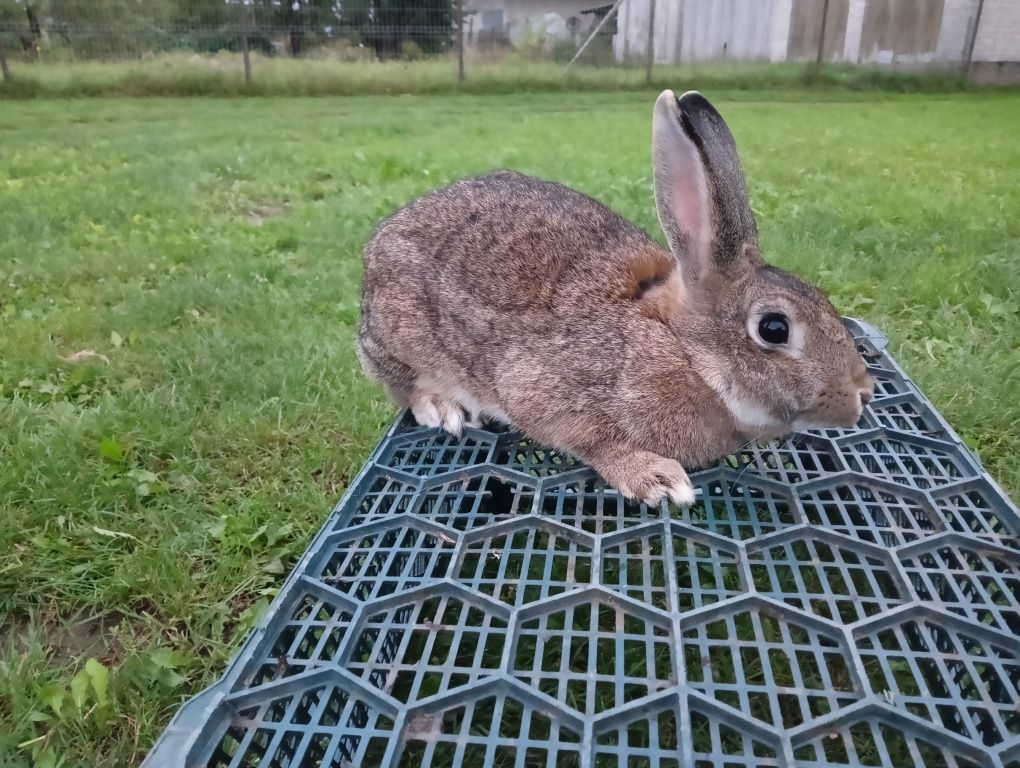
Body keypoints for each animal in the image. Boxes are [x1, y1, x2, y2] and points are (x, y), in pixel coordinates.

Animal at [354, 89, 873, 505]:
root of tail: (374, 253)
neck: (681, 348)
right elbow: (595, 442)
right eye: (774, 328)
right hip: (401, 335)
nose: (863, 391)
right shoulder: (545, 390)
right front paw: (656, 479)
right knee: (405, 386)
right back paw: (442, 407)